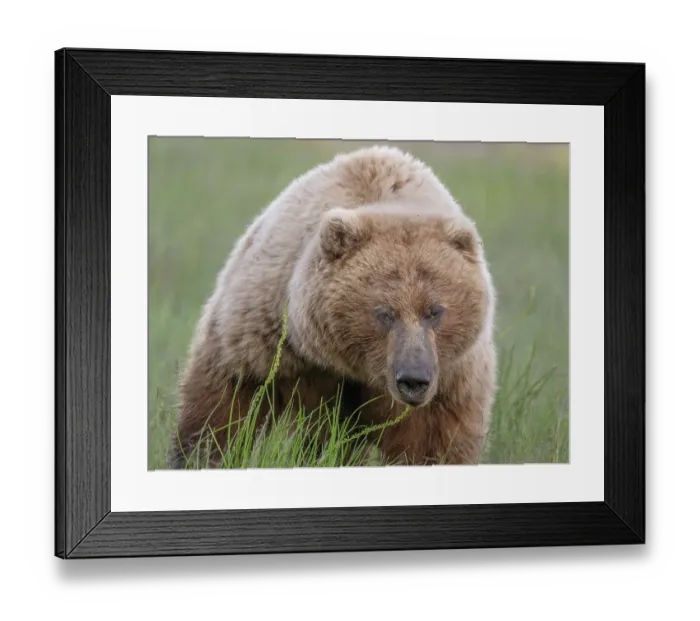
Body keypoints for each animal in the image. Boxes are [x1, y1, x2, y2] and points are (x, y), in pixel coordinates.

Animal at [167, 145, 497, 469]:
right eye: (384, 312)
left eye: (435, 311)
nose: (413, 379)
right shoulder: (271, 336)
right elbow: (225, 406)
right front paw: (198, 456)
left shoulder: (450, 378)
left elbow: (432, 444)